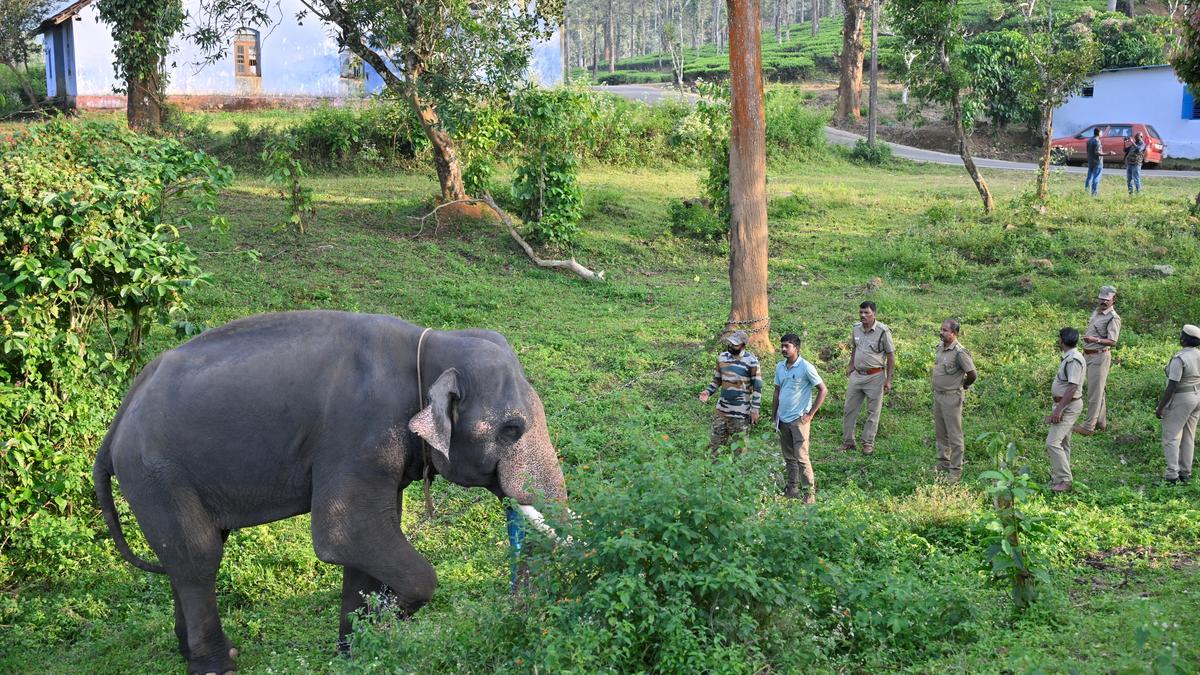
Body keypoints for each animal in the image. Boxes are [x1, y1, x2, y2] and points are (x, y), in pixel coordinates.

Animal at [93, 310, 567, 674]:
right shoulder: (360, 430)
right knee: (198, 558)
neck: (431, 345)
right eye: (512, 429)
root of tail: (116, 421)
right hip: (155, 473)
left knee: (185, 558)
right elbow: (347, 534)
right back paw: (217, 666)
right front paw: (382, 624)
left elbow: (369, 539)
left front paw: (358, 650)